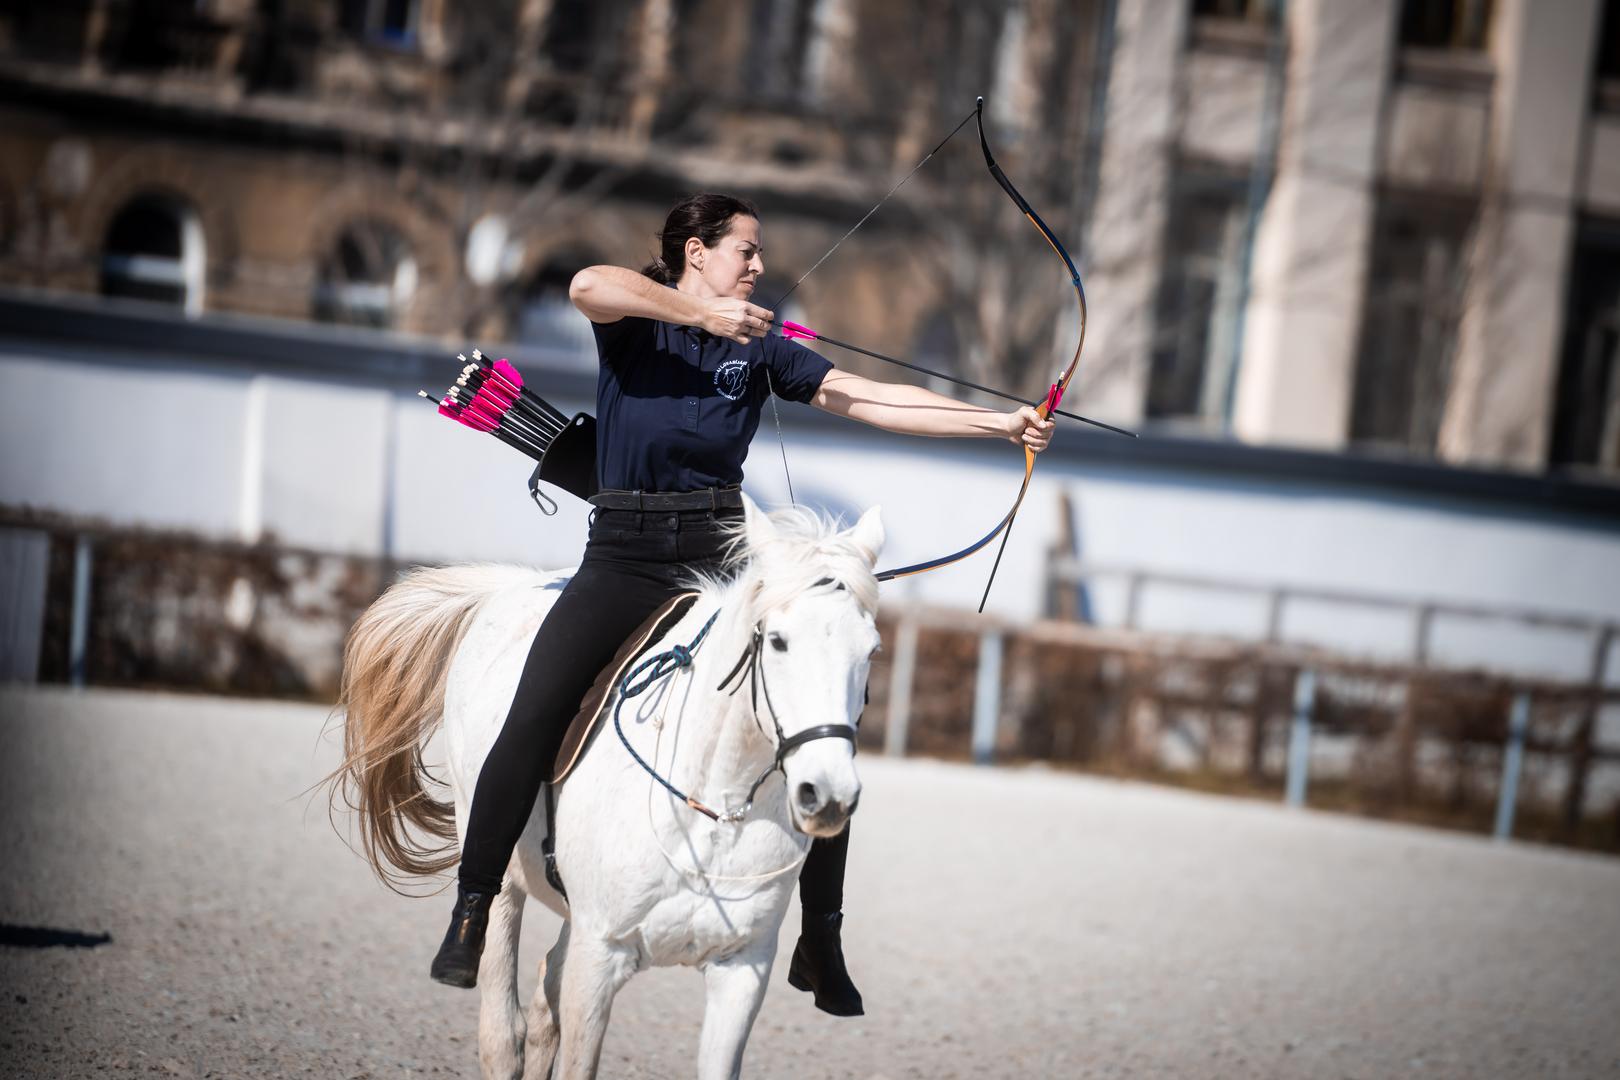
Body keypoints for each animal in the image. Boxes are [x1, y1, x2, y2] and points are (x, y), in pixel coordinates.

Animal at [330, 499, 884, 1079]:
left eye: (871, 650)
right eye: (778, 642)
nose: (828, 796)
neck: (712, 808)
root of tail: (513, 585)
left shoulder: (740, 970)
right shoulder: (599, 957)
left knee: (544, 997)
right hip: (498, 867)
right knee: (502, 1029)